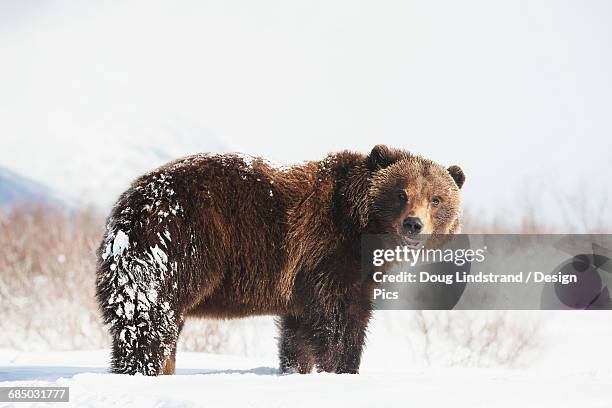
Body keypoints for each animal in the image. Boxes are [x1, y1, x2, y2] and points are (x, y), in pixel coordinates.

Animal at [98, 144, 466, 376]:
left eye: (436, 198)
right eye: (401, 193)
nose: (413, 224)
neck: (362, 225)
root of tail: (130, 200)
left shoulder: (304, 282)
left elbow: (298, 332)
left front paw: (296, 369)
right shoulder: (329, 253)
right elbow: (341, 319)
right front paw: (343, 368)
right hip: (179, 242)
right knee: (149, 318)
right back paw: (143, 369)